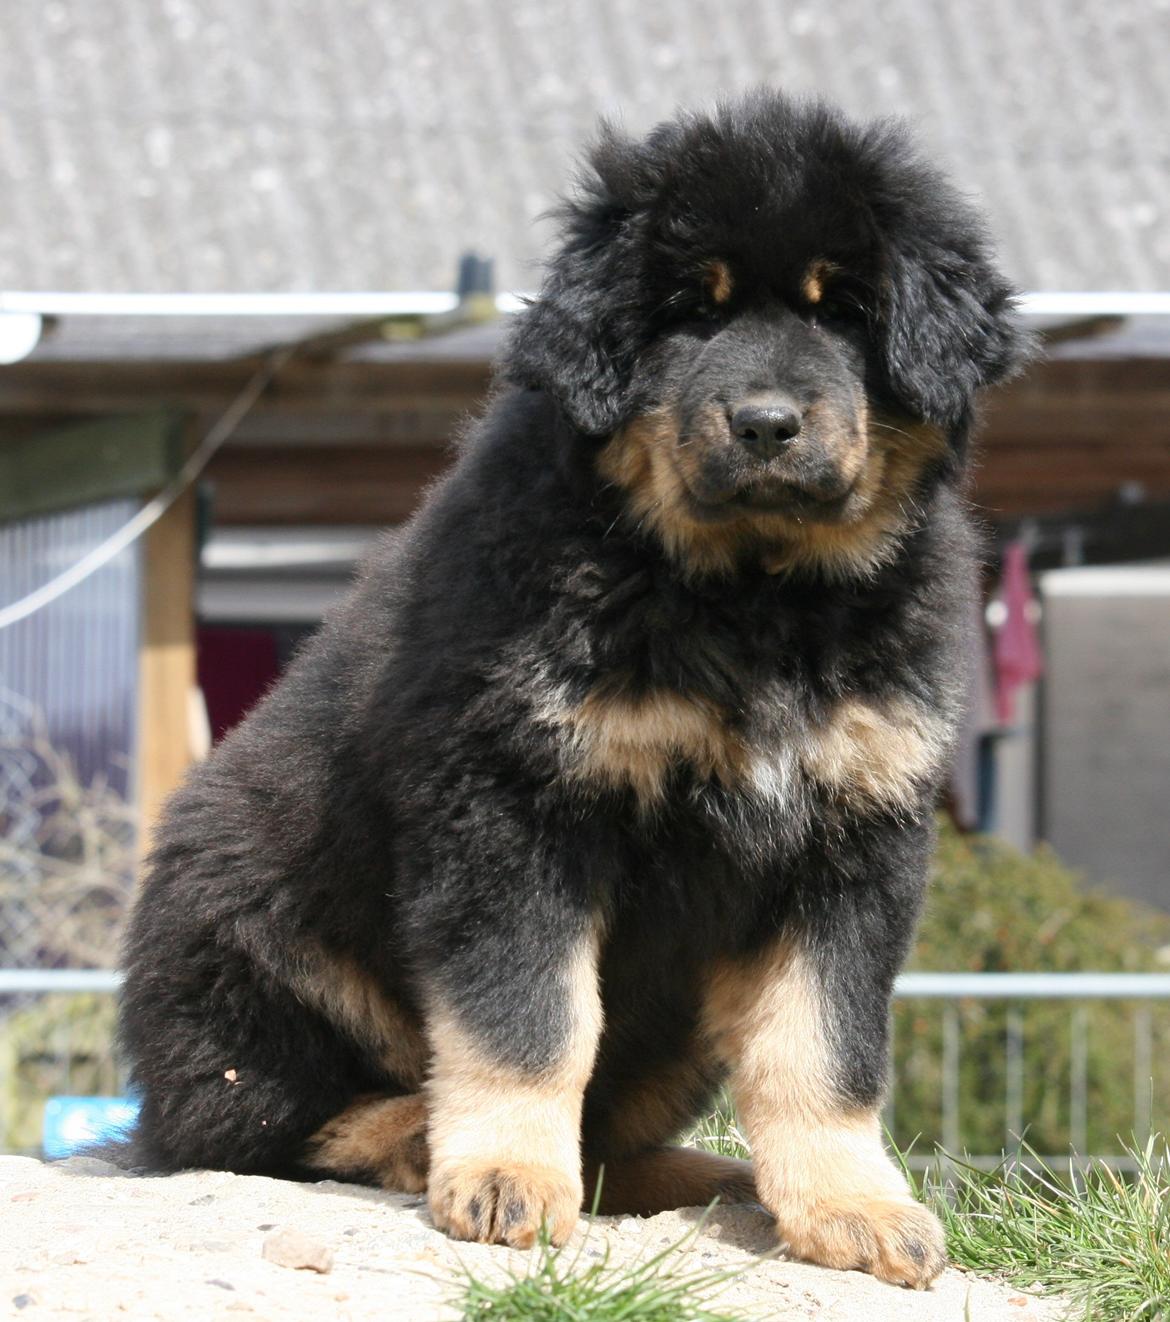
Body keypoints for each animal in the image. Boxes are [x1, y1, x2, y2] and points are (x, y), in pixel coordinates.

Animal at [116, 93, 1020, 1290]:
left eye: (848, 312)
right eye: (687, 312)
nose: (766, 423)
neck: (748, 595)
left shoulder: (853, 834)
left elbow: (823, 1042)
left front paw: (852, 1206)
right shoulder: (511, 802)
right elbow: (530, 1015)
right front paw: (503, 1175)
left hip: (680, 1022)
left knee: (611, 1139)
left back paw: (708, 1175)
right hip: (250, 934)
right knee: (243, 1122)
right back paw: (413, 1133)